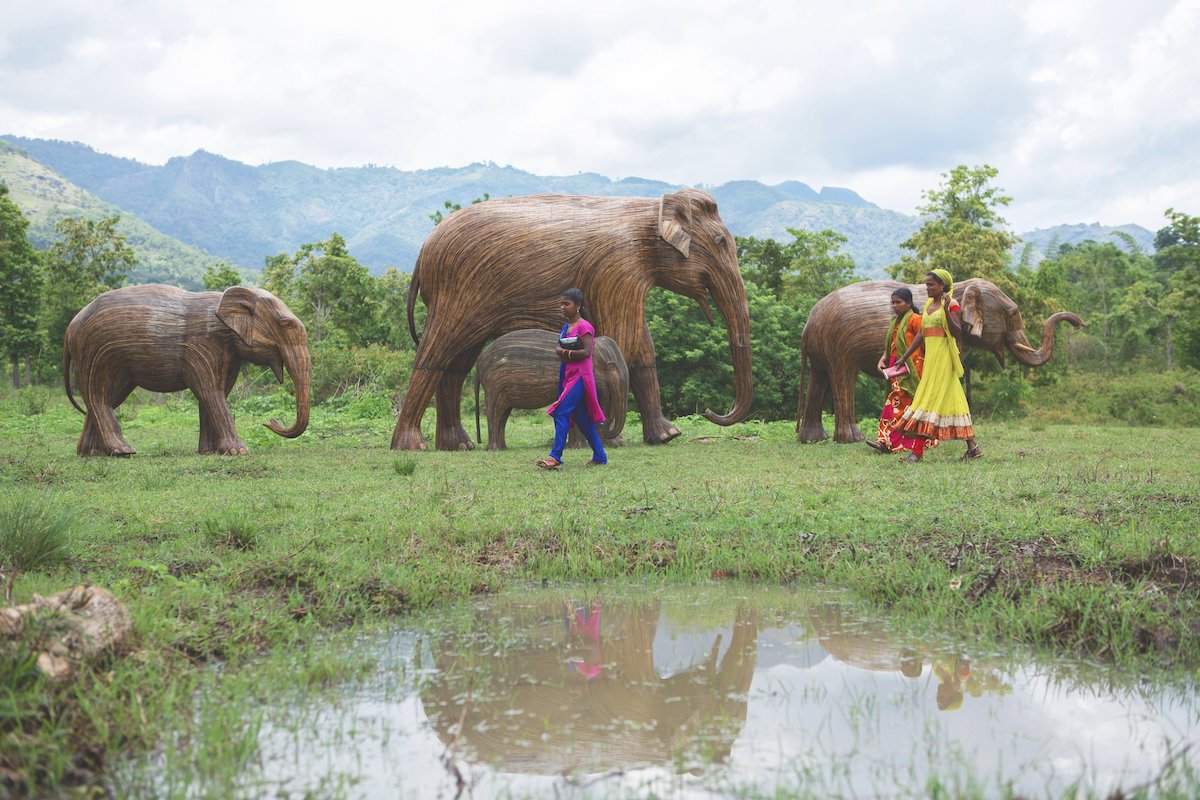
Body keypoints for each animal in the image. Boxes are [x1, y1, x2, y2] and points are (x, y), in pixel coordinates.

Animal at [63, 284, 311, 456]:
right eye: (286, 324)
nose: (271, 421)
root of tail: (71, 326)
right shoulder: (201, 345)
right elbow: (210, 392)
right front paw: (240, 452)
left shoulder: (227, 355)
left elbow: (213, 394)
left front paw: (211, 453)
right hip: (98, 354)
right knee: (98, 395)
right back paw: (123, 451)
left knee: (106, 398)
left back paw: (93, 453)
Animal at [473, 329, 629, 451]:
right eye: (611, 367)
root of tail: (479, 363)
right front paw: (578, 447)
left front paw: (574, 448)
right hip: (493, 384)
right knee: (495, 412)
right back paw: (494, 449)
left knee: (503, 414)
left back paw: (503, 448)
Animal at [797, 278, 1084, 443]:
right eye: (1013, 314)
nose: (1079, 323)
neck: (959, 286)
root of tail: (808, 324)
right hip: (839, 345)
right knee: (842, 379)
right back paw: (852, 439)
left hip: (822, 349)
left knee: (819, 380)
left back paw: (813, 440)